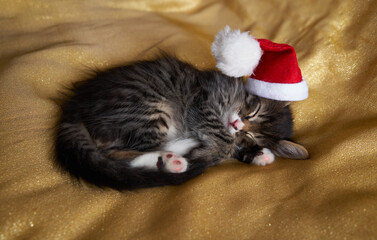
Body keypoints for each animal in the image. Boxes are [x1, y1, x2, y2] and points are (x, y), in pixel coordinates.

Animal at [55, 55, 244, 189]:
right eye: (246, 114)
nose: (238, 126)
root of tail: (74, 107)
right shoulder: (203, 102)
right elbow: (225, 139)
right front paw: (210, 152)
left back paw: (171, 160)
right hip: (150, 110)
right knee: (116, 154)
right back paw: (179, 154)